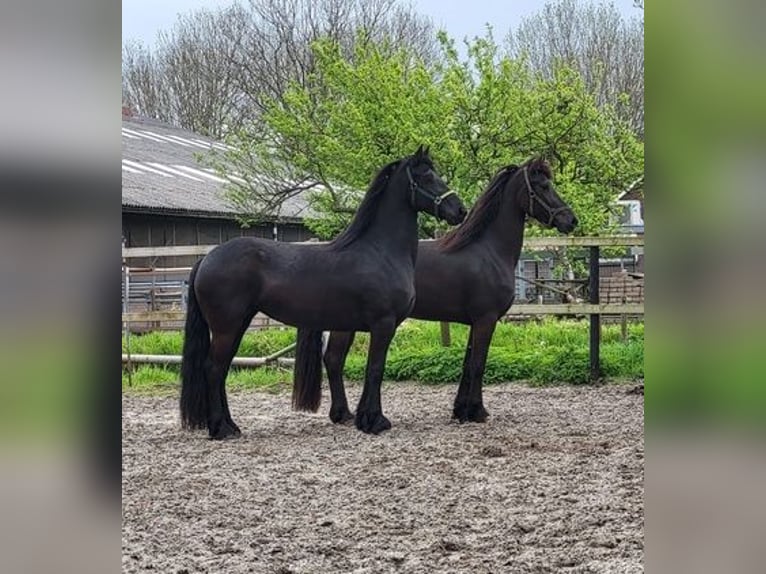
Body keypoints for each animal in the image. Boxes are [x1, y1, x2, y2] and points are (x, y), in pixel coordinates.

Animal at [181, 146, 468, 438]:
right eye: (426, 176)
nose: (460, 210)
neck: (379, 251)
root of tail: (207, 259)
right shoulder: (383, 324)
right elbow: (375, 369)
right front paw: (375, 421)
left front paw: (358, 417)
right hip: (227, 327)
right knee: (214, 369)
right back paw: (220, 428)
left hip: (238, 325)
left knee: (222, 369)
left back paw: (230, 425)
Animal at [320, 160, 580, 426]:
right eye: (544, 186)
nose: (571, 220)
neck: (489, 250)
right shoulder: (486, 319)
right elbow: (478, 364)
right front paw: (477, 410)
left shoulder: (476, 322)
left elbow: (467, 364)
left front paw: (461, 410)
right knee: (334, 359)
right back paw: (343, 414)